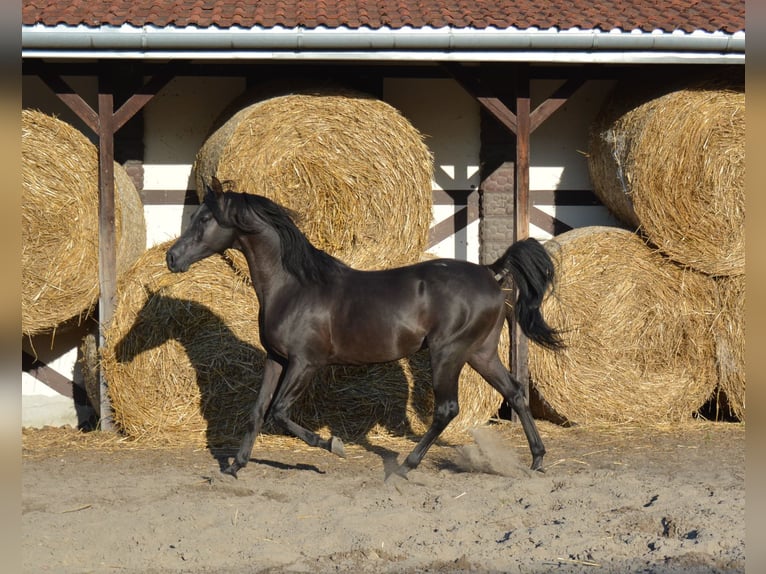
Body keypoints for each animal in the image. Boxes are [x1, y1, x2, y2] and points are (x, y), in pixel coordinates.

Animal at [168, 178, 564, 480]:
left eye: (204, 219)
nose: (172, 258)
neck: (294, 286)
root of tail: (489, 272)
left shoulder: (305, 362)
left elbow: (279, 411)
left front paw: (333, 446)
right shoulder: (276, 359)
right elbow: (257, 411)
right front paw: (235, 466)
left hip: (448, 352)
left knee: (447, 408)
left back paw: (406, 466)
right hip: (480, 352)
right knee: (515, 392)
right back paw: (537, 459)